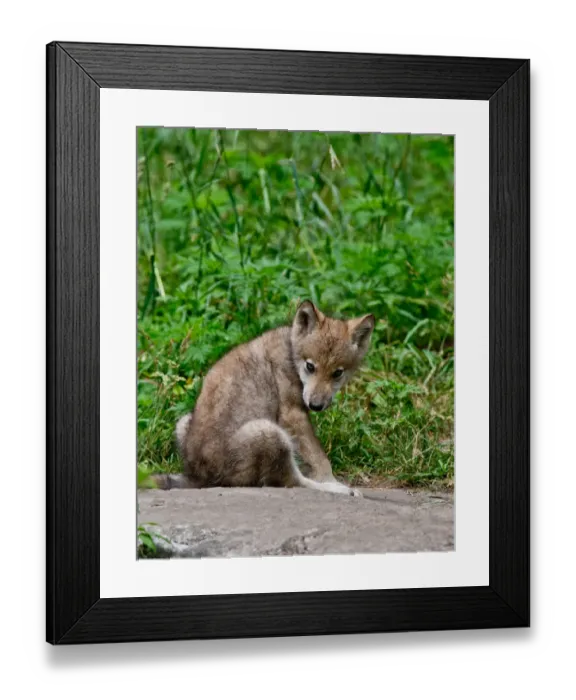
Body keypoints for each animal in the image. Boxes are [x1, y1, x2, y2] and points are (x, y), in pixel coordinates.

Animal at [151, 301, 375, 497]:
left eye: (337, 373)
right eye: (310, 366)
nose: (316, 405)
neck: (291, 352)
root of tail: (198, 477)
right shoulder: (293, 415)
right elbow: (319, 459)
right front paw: (334, 482)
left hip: (183, 421)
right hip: (271, 433)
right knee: (292, 481)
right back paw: (340, 489)